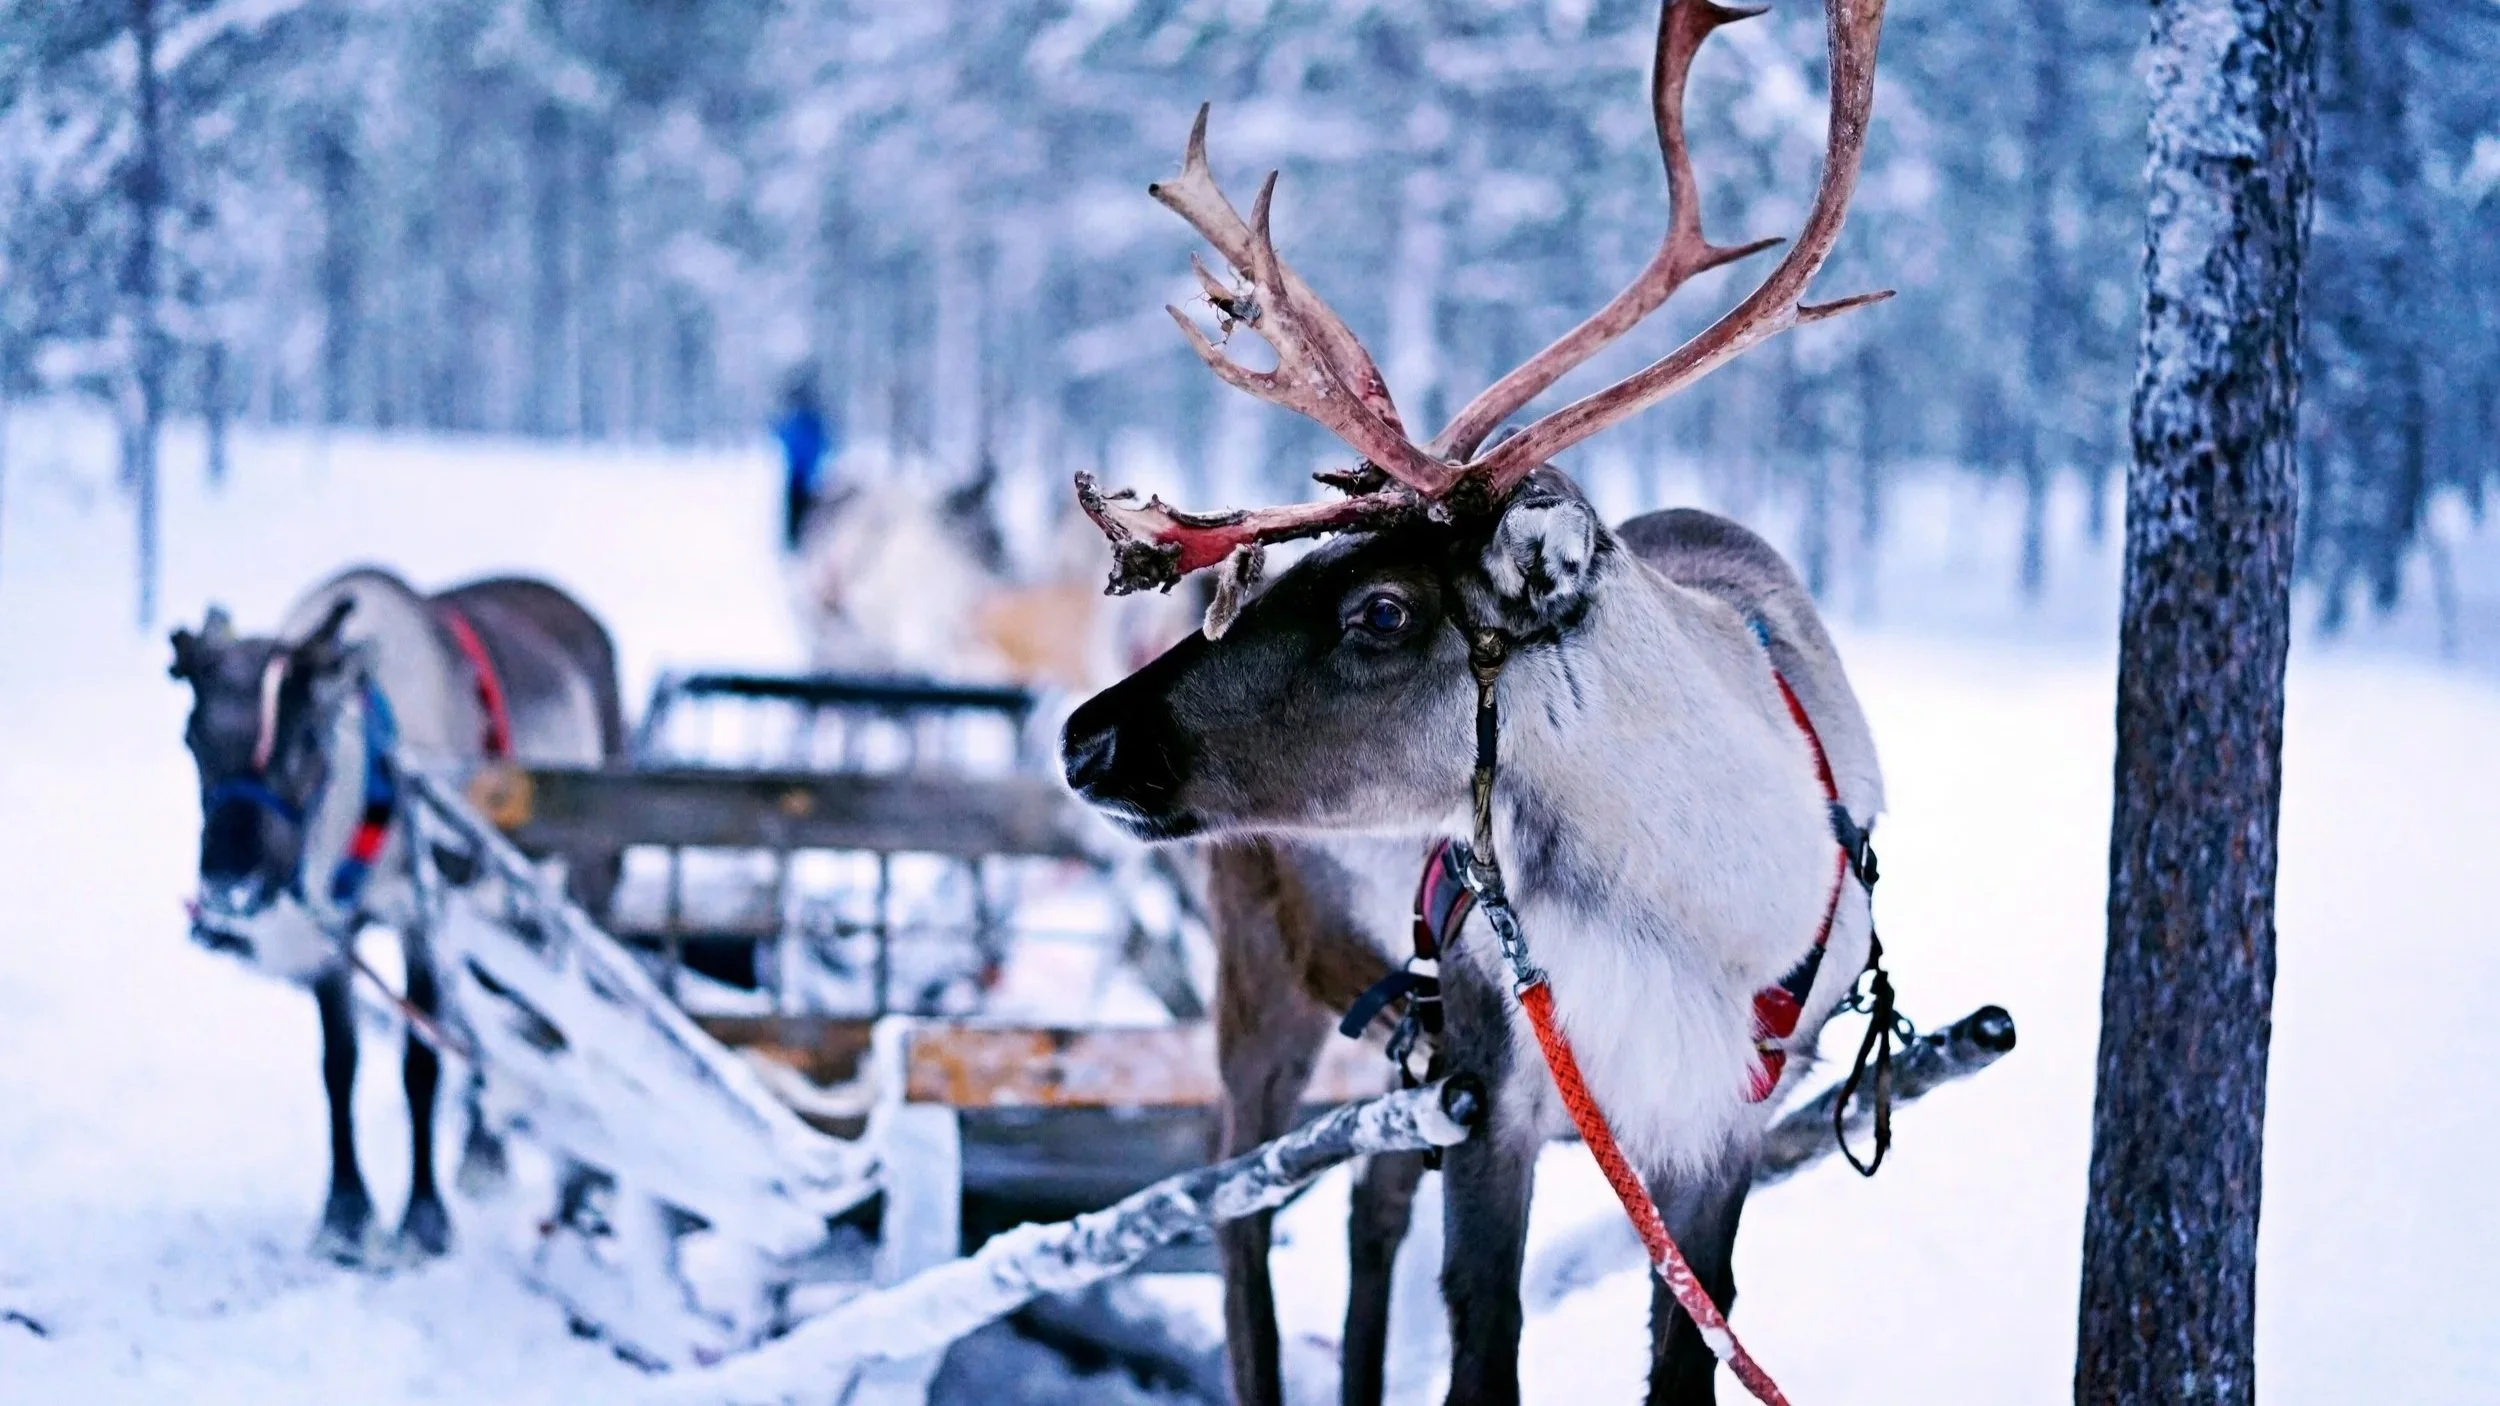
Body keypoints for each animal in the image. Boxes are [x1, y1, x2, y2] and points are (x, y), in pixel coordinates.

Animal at [1056, 0, 1891, 1401]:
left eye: (1382, 610)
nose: (1083, 735)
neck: (1688, 914)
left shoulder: (1719, 1118)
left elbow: (1692, 1336)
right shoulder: (1492, 1084)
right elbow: (1480, 1330)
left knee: (1361, 1210)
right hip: (1262, 984)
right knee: (1236, 1205)